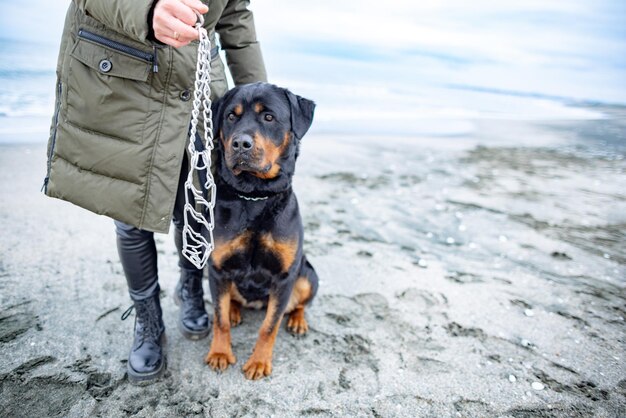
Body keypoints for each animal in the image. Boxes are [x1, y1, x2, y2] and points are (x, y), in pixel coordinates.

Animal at [204, 81, 316, 378]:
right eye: (231, 116)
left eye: (268, 117)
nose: (240, 144)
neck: (255, 195)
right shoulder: (218, 269)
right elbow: (219, 318)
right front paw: (220, 353)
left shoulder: (284, 276)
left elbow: (269, 325)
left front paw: (258, 362)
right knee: (230, 302)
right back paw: (234, 311)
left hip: (308, 275)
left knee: (299, 303)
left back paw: (298, 321)